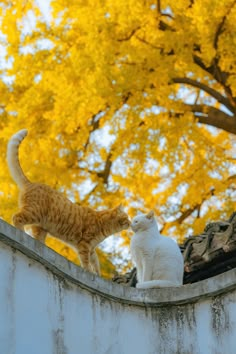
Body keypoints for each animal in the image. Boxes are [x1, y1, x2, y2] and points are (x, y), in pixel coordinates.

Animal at [6, 129, 131, 274]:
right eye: (126, 218)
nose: (131, 223)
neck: (103, 225)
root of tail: (31, 183)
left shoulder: (92, 249)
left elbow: (96, 262)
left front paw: (98, 274)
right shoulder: (84, 244)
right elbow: (86, 262)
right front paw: (89, 271)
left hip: (41, 227)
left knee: (37, 238)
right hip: (33, 213)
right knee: (17, 218)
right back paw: (21, 233)